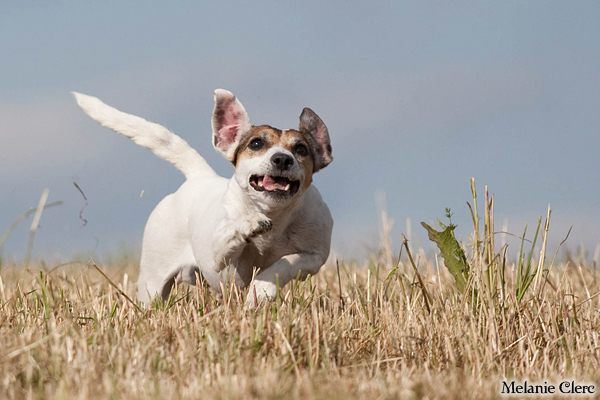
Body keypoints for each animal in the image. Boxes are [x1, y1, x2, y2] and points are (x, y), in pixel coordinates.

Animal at [73, 89, 333, 305]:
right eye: (256, 143)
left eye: (301, 149)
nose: (282, 159)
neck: (274, 215)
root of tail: (198, 176)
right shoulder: (217, 256)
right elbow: (231, 236)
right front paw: (250, 223)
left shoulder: (314, 257)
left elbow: (286, 263)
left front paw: (262, 289)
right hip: (153, 281)